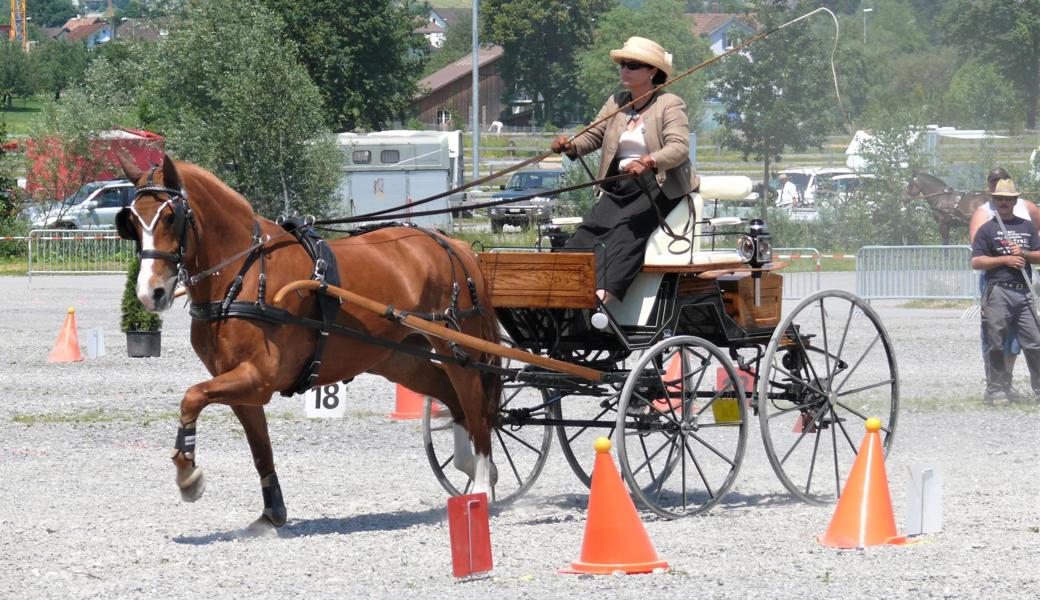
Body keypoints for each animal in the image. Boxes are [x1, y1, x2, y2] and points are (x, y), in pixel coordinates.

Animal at [115, 151, 501, 530]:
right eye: (131, 221)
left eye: (170, 217)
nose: (151, 293)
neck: (243, 273)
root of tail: (452, 244)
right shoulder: (239, 383)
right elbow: (260, 447)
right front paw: (272, 512)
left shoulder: (259, 377)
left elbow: (192, 397)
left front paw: (188, 476)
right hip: (401, 359)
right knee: (453, 399)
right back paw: (471, 468)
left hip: (460, 351)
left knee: (477, 408)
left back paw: (480, 487)